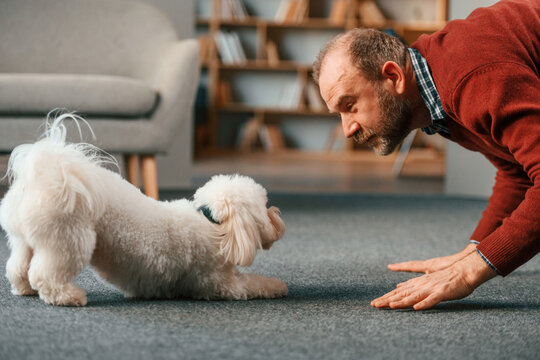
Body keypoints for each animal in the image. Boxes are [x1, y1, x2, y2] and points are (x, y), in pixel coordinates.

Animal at [0, 114, 286, 306]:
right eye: (264, 207)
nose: (278, 218)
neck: (212, 222)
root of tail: (50, 174)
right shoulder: (220, 284)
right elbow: (253, 283)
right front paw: (277, 285)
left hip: (25, 238)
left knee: (18, 265)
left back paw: (24, 288)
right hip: (69, 238)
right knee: (46, 274)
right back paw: (68, 296)